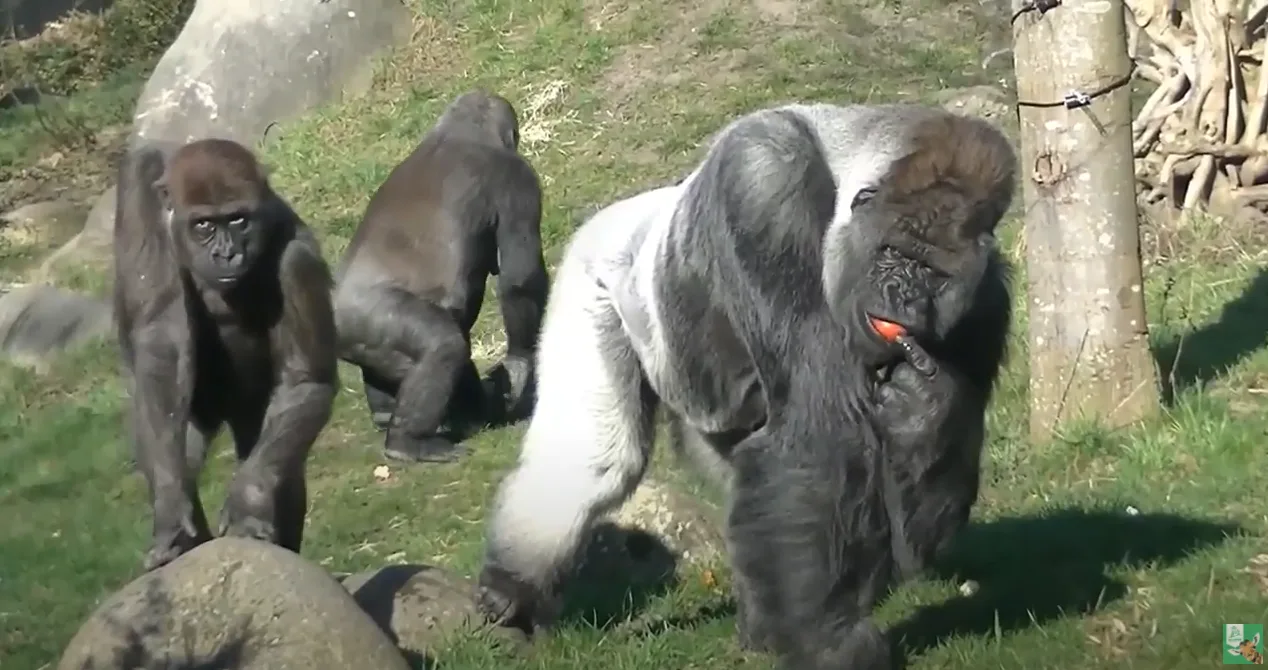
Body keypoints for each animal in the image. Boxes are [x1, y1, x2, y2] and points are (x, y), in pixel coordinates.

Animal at [113, 137, 338, 572]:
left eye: (238, 220)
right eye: (203, 225)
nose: (227, 254)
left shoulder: (297, 257)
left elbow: (305, 382)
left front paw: (249, 500)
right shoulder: (142, 186)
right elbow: (162, 343)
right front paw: (172, 507)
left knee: (279, 451)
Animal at [331, 89, 549, 464]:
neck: (458, 132)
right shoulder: (517, 180)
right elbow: (520, 279)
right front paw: (521, 363)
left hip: (356, 336)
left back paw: (389, 417)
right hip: (370, 315)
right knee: (444, 346)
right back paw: (409, 442)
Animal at [473, 103, 1016, 670]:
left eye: (934, 274)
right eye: (893, 254)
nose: (905, 298)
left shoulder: (986, 296)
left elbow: (914, 544)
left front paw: (923, 410)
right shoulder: (762, 188)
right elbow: (818, 434)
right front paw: (830, 643)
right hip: (593, 268)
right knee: (595, 461)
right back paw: (509, 589)